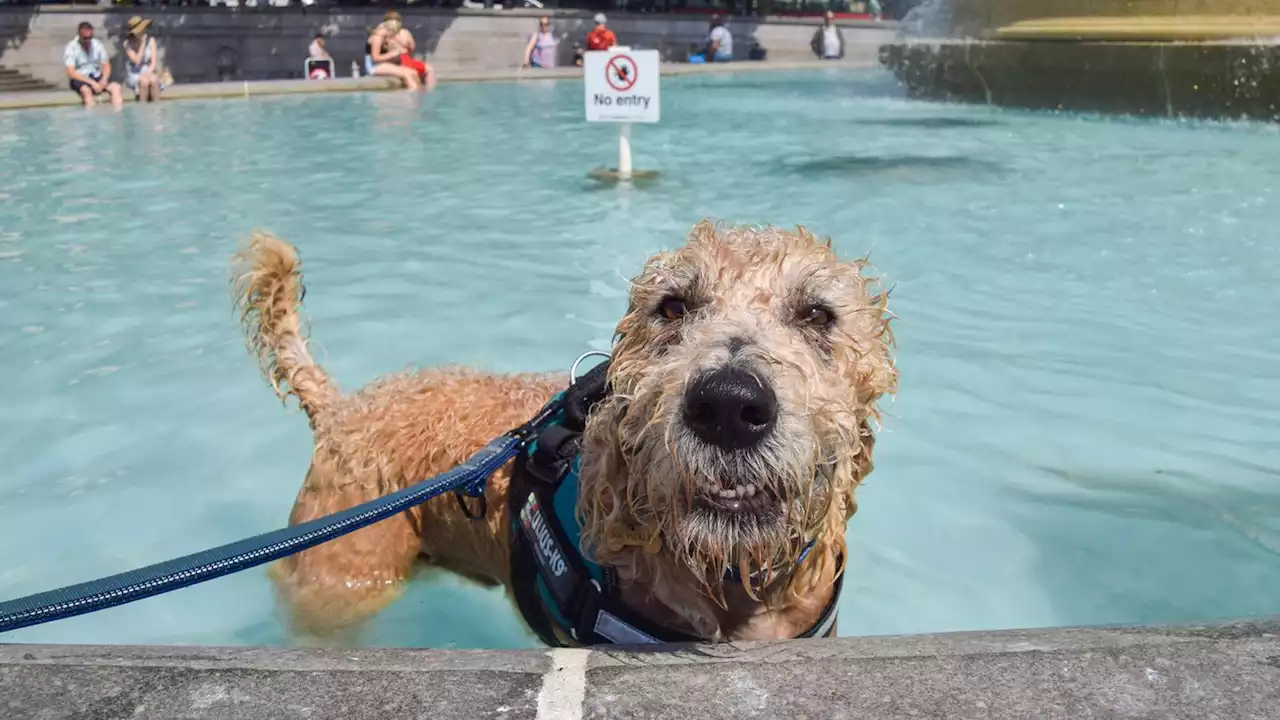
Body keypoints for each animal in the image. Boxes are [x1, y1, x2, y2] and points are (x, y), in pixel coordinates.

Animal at [235, 219, 896, 638]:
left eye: (818, 315)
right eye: (671, 307)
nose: (728, 405)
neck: (730, 581)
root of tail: (341, 409)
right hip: (338, 585)